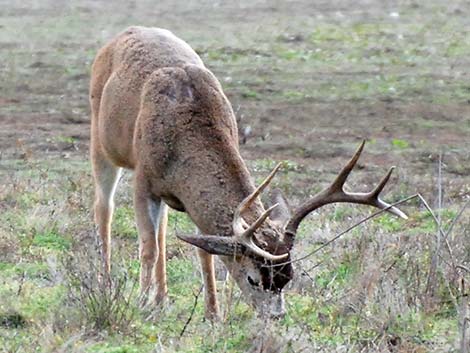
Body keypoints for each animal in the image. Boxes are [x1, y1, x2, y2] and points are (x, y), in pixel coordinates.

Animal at [91, 26, 408, 320]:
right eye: (253, 279)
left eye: (288, 278)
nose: (276, 316)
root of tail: (125, 33)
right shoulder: (144, 180)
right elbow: (148, 247)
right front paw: (140, 306)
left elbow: (204, 251)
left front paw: (213, 314)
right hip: (101, 142)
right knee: (104, 208)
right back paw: (107, 285)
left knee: (163, 228)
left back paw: (161, 297)